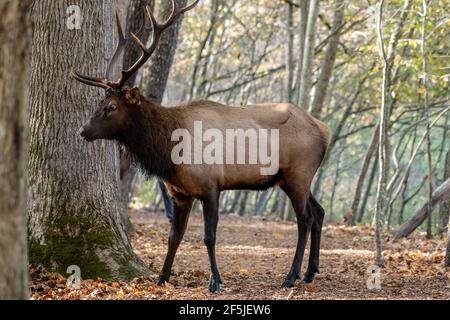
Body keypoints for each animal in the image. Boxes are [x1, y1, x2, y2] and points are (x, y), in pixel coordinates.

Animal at [71, 0, 330, 294]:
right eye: (99, 104)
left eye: (111, 107)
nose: (83, 130)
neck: (169, 155)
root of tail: (324, 130)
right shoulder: (180, 193)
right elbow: (174, 236)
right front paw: (162, 277)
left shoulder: (210, 186)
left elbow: (209, 236)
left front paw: (215, 281)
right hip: (291, 178)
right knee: (319, 212)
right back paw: (310, 272)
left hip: (298, 173)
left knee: (305, 219)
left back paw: (291, 276)